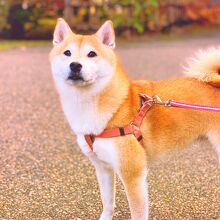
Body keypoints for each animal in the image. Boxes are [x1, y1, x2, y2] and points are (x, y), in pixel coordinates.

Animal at [49, 18, 220, 220]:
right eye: (67, 53)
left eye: (92, 54)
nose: (75, 65)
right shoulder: (103, 167)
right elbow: (107, 203)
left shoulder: (132, 173)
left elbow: (137, 212)